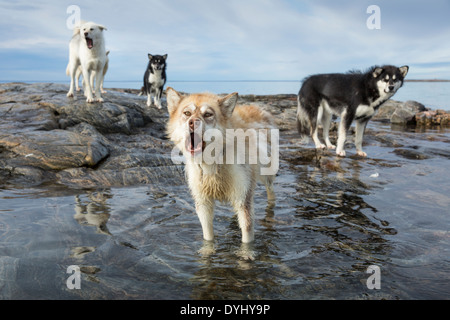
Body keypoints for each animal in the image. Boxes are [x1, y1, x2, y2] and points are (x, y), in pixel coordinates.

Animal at [166, 87, 278, 242]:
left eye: (208, 114)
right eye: (187, 113)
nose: (193, 122)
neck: (213, 162)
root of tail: (260, 109)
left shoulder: (244, 201)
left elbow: (247, 239)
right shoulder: (203, 204)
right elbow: (208, 237)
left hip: (267, 176)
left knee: (271, 191)